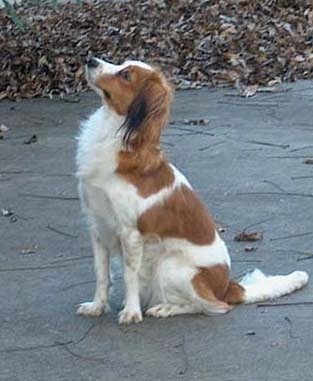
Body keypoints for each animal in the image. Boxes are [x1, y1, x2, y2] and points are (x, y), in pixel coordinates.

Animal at [75, 57, 308, 324]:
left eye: (125, 75)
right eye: (121, 64)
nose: (91, 60)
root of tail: (228, 287)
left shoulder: (131, 234)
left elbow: (129, 276)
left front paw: (131, 312)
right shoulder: (97, 226)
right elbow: (101, 274)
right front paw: (97, 306)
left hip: (170, 267)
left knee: (211, 306)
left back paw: (165, 308)